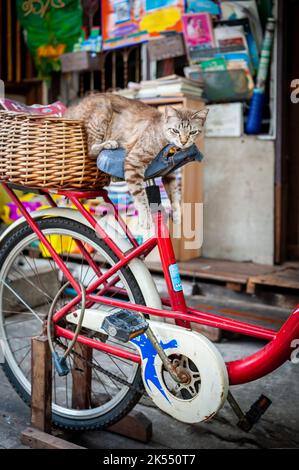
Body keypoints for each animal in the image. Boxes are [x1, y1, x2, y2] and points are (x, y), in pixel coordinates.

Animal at [65, 93, 209, 229]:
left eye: (192, 132)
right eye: (175, 130)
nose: (183, 142)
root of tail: (75, 107)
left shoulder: (169, 172)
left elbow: (175, 193)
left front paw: (177, 214)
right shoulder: (134, 161)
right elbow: (140, 195)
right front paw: (145, 217)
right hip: (101, 115)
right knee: (91, 149)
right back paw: (110, 144)